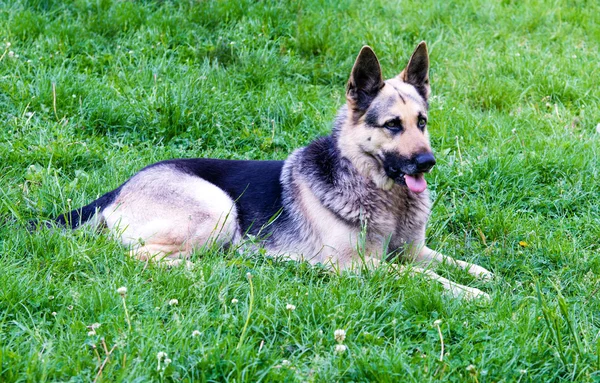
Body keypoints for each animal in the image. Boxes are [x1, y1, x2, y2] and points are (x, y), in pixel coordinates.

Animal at [50, 42, 492, 300]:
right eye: (392, 125)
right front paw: (469, 293)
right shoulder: (357, 266)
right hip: (218, 209)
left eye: (422, 122)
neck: (376, 188)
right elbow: (423, 278)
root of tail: (122, 187)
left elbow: (456, 263)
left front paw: (487, 276)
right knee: (138, 257)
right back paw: (199, 271)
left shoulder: (415, 251)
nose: (427, 163)